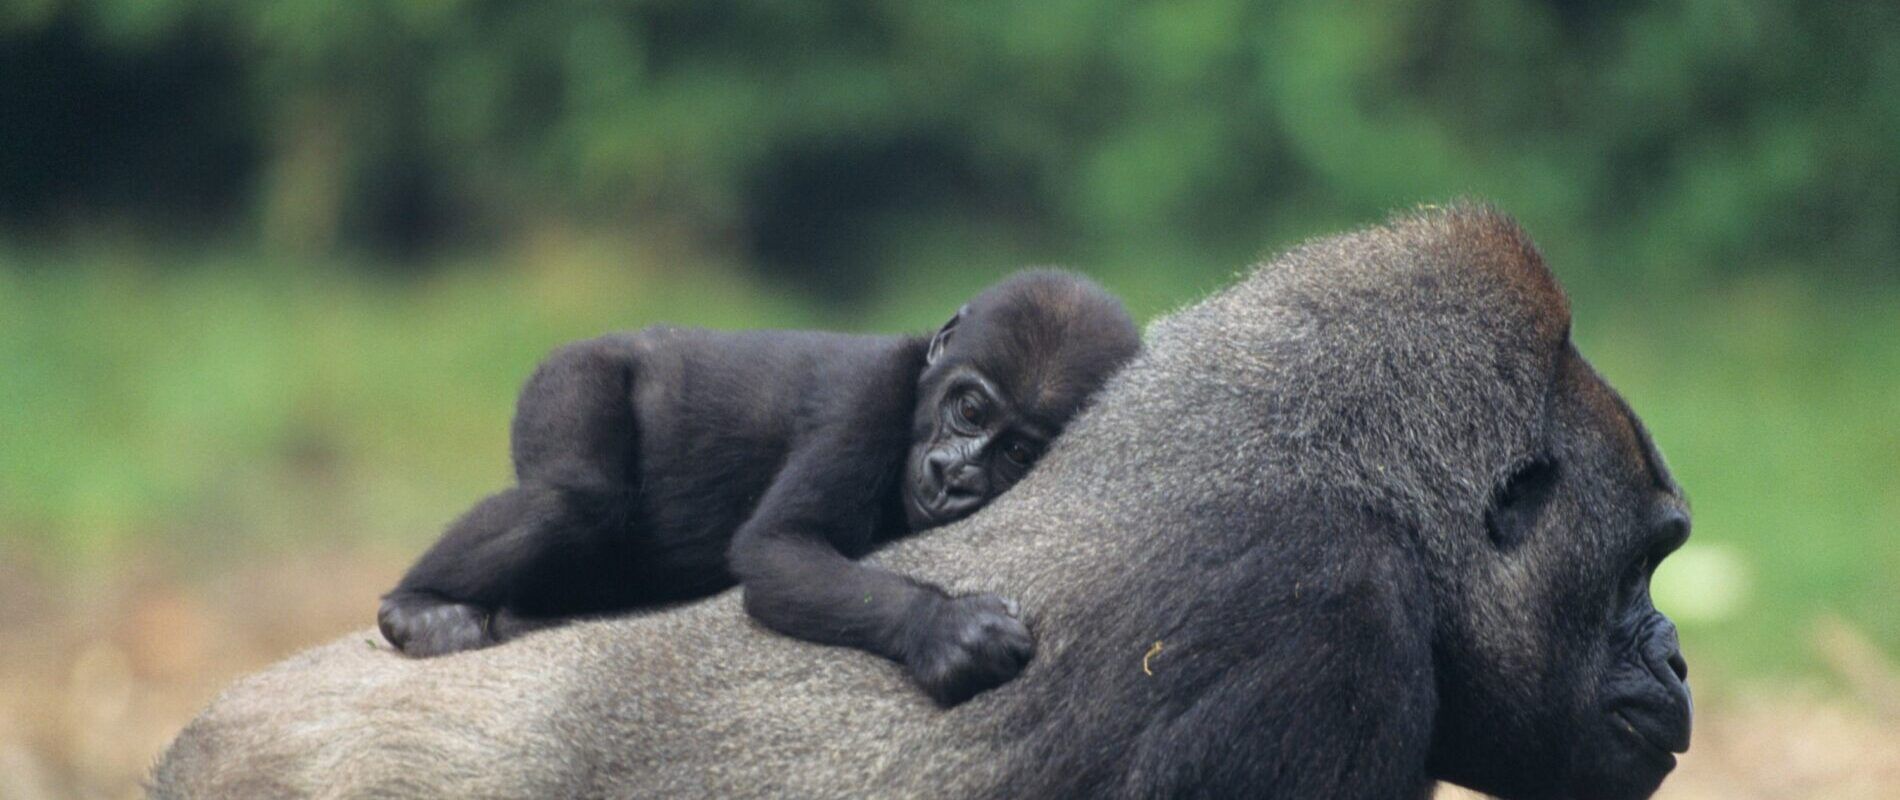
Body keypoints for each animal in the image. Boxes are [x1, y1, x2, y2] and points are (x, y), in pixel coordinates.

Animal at [375, 269, 1141, 705]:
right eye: (971, 410)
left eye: (1017, 451)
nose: (953, 476)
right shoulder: (866, 402)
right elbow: (778, 546)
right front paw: (945, 628)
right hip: (570, 373)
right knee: (573, 499)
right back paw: (416, 606)